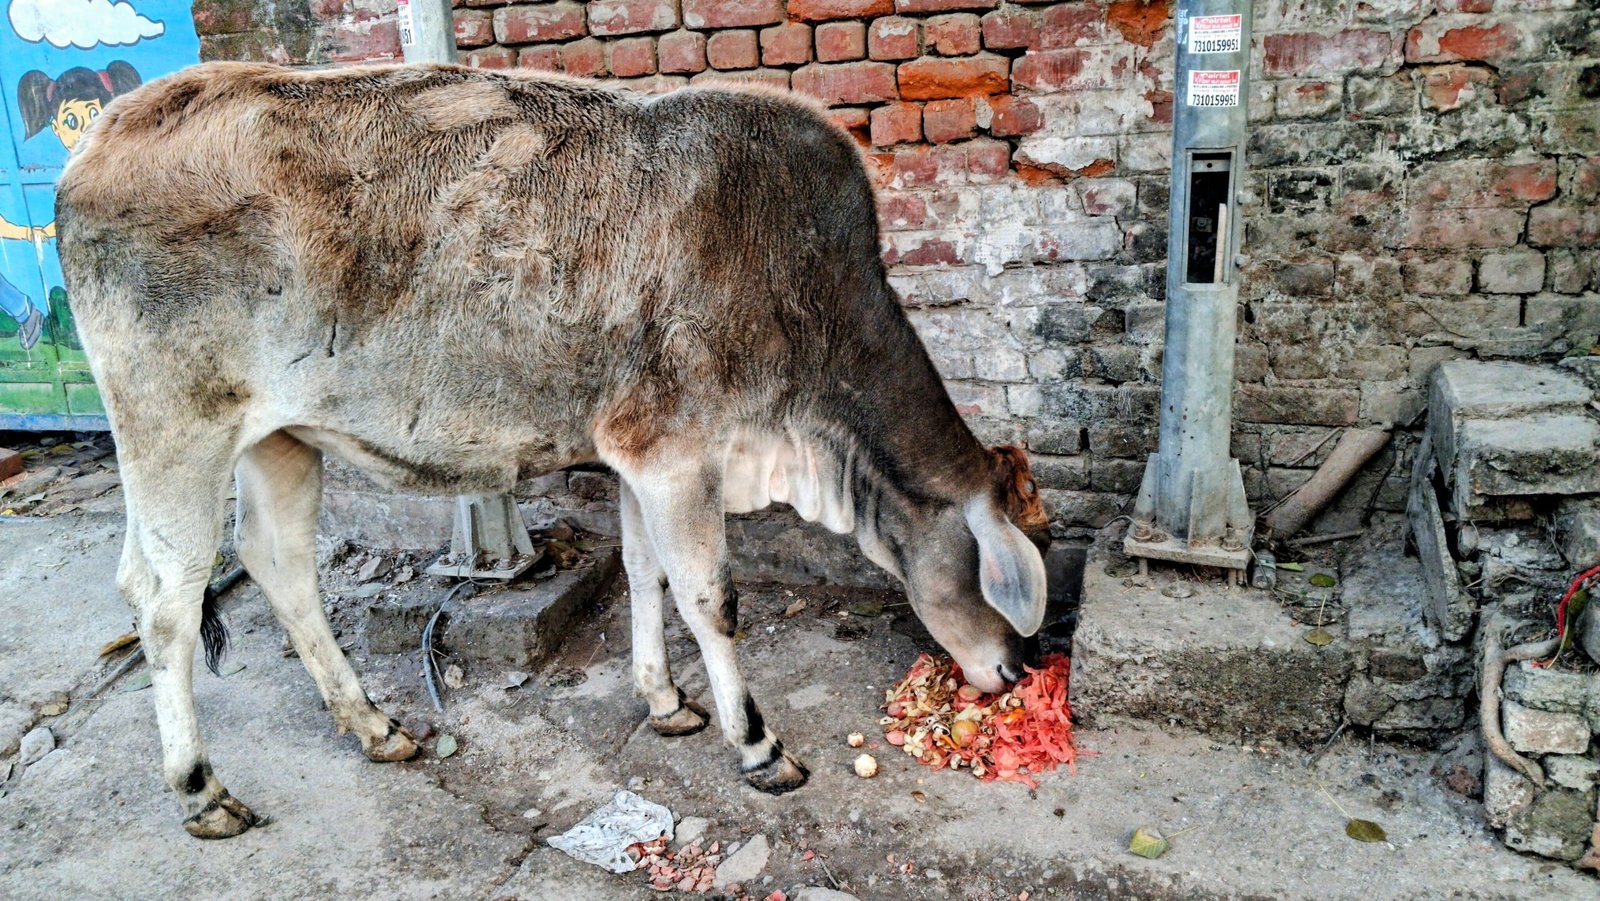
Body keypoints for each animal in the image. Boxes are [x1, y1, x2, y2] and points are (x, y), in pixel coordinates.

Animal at [56, 61, 1051, 838]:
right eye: (995, 562)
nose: (1015, 666)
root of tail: (103, 137)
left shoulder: (637, 458)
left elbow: (647, 574)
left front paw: (666, 702)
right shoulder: (673, 452)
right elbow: (710, 599)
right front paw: (759, 744)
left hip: (280, 438)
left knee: (279, 564)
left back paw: (375, 725)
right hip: (174, 430)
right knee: (163, 600)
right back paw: (202, 790)